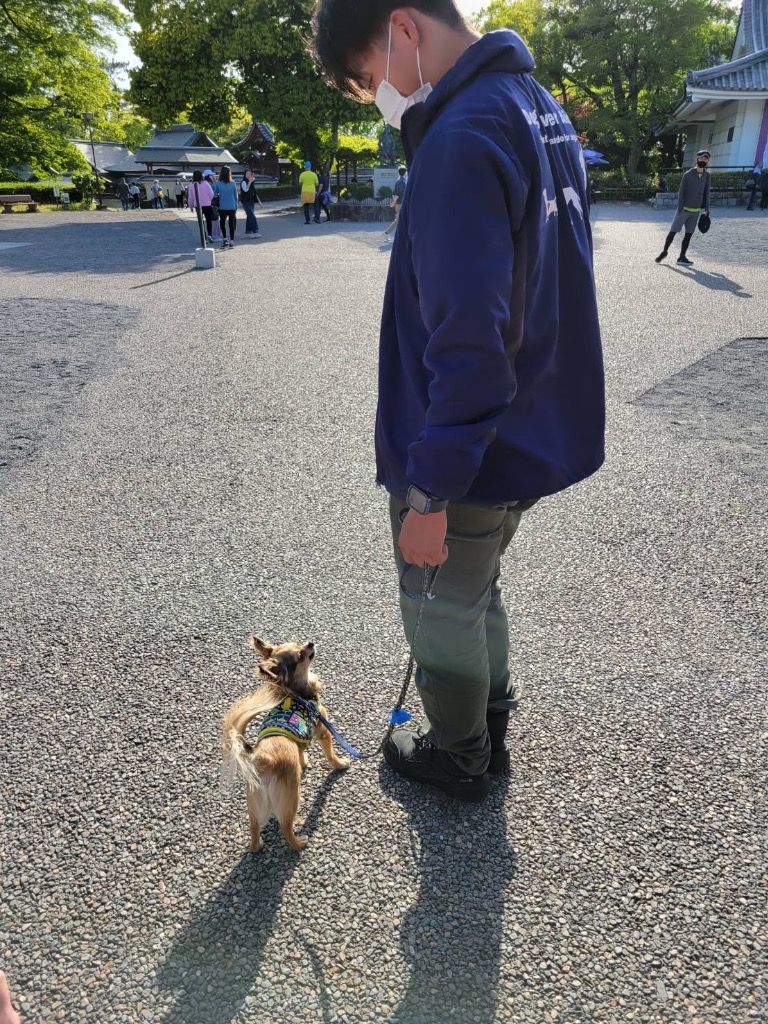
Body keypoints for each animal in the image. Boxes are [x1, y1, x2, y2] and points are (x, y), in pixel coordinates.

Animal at [222, 637, 350, 852]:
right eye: (300, 656)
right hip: (291, 797)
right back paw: (299, 843)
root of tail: (262, 758)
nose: (310, 643)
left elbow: (301, 753)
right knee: (285, 825)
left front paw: (304, 761)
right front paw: (340, 764)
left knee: (254, 827)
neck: (297, 691)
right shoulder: (324, 733)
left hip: (254, 801)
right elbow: (331, 755)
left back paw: (257, 846)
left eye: (299, 643)